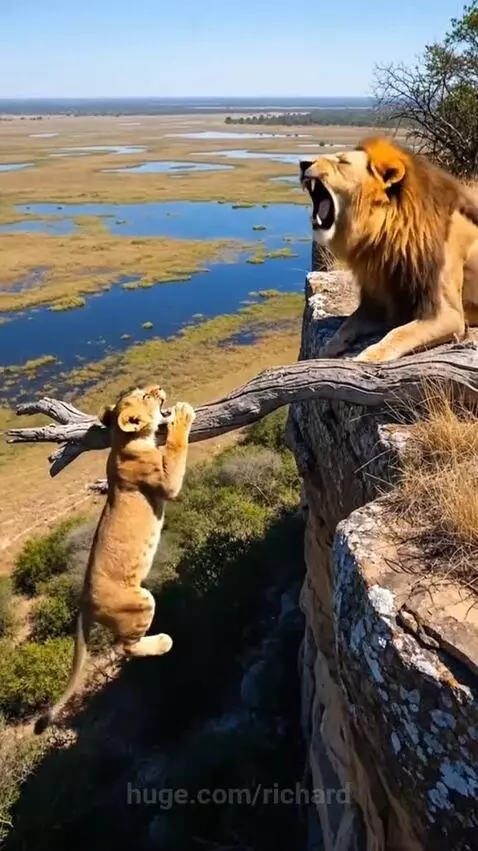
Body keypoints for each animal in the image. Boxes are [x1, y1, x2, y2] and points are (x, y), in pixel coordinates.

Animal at [34, 385, 195, 734]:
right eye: (146, 396)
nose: (158, 387)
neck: (124, 441)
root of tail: (83, 601)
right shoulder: (166, 481)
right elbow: (176, 448)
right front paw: (181, 415)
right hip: (139, 601)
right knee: (125, 647)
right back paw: (163, 642)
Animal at [300, 136, 478, 362]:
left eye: (342, 162)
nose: (302, 163)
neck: (386, 234)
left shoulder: (449, 314)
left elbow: (399, 333)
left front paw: (368, 357)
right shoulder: (381, 302)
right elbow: (347, 325)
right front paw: (329, 349)